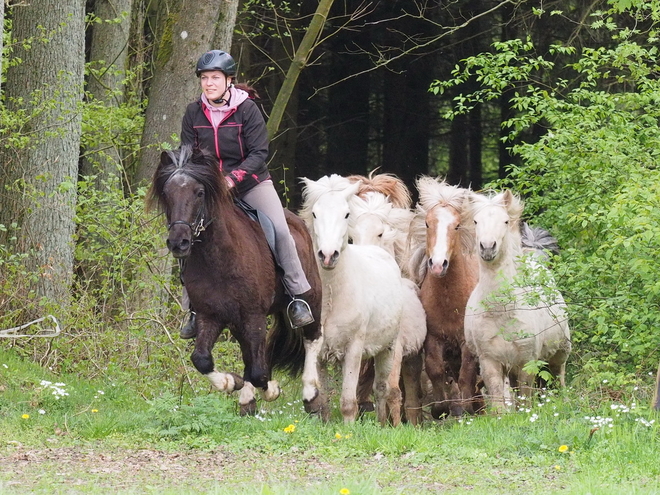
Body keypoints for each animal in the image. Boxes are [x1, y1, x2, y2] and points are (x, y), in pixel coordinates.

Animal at [148, 146, 328, 418]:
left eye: (199, 193)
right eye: (167, 194)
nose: (178, 242)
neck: (219, 258)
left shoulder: (253, 315)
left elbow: (259, 371)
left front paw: (271, 389)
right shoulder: (210, 316)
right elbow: (202, 359)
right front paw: (231, 382)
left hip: (311, 297)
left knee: (312, 337)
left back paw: (312, 398)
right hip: (237, 322)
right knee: (248, 354)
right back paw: (246, 401)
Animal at [300, 175, 408, 426]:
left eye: (346, 214)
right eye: (315, 214)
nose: (327, 255)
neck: (334, 296)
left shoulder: (354, 349)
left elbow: (349, 402)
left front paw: (349, 429)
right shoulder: (319, 352)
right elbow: (324, 400)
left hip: (387, 349)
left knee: (382, 389)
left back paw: (383, 425)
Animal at [348, 192, 426, 424]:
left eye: (380, 233)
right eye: (351, 236)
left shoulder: (396, 349)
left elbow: (391, 390)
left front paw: (397, 426)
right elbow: (376, 389)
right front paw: (382, 424)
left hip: (412, 356)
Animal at [408, 178, 484, 418]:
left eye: (457, 225)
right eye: (427, 224)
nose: (438, 264)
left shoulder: (466, 340)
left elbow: (467, 372)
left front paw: (466, 408)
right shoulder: (433, 338)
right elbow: (435, 369)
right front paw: (440, 408)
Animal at [464, 190, 572, 410]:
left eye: (505, 221)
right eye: (476, 221)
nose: (487, 247)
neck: (502, 312)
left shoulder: (527, 360)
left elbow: (527, 396)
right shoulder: (490, 361)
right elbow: (498, 398)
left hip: (560, 352)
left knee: (559, 376)